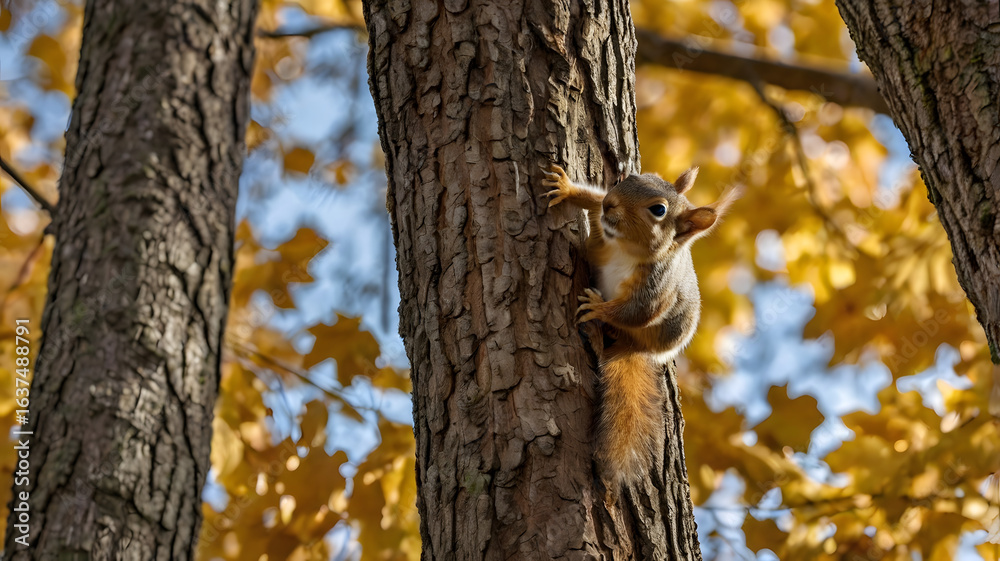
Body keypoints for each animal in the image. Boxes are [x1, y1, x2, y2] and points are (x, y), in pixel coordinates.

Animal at [541, 163, 739, 487]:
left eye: (658, 210)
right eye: (634, 177)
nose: (612, 203)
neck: (624, 249)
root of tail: (638, 348)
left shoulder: (654, 290)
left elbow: (637, 313)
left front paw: (597, 308)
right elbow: (593, 200)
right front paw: (567, 188)